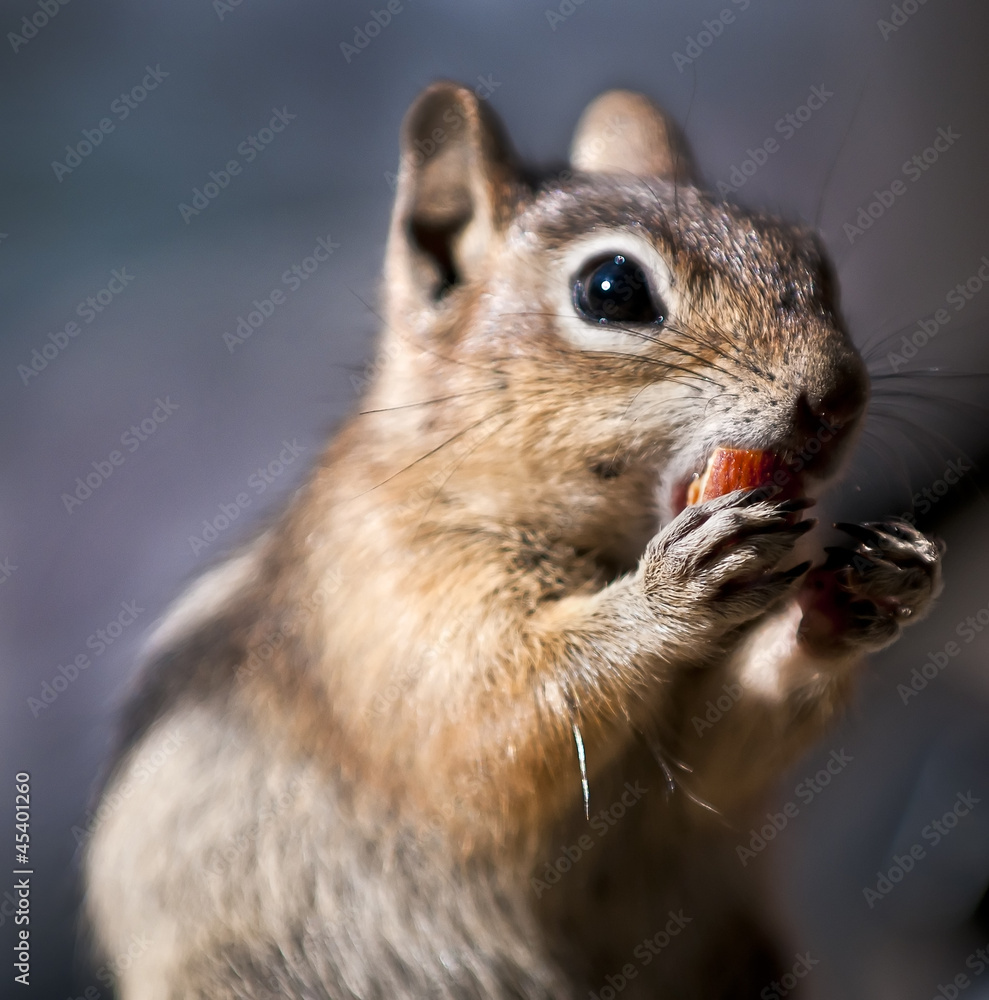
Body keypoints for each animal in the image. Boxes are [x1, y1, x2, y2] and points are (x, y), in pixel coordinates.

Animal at [84, 83, 943, 999]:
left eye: (812, 257)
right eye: (611, 288)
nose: (839, 396)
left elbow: (713, 759)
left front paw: (863, 593)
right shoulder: (388, 600)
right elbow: (490, 730)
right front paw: (669, 591)